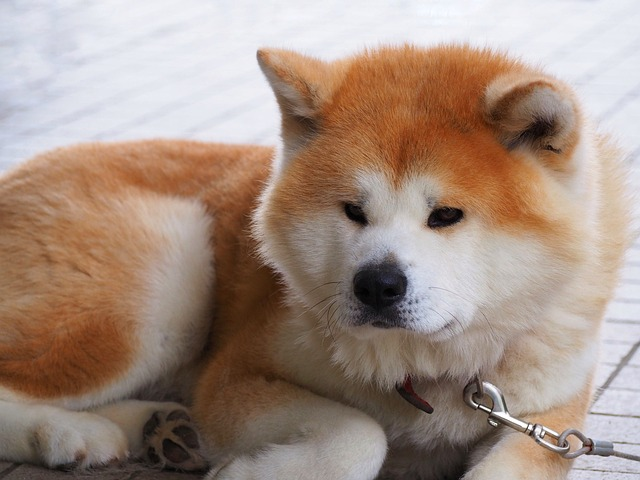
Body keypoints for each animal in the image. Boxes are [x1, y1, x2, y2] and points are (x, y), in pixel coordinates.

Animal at [0, 45, 632, 480]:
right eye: (353, 210)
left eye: (447, 215)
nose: (377, 285)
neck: (424, 370)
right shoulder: (233, 374)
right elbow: (361, 433)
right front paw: (249, 472)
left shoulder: (548, 420)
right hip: (163, 288)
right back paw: (72, 432)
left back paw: (163, 429)